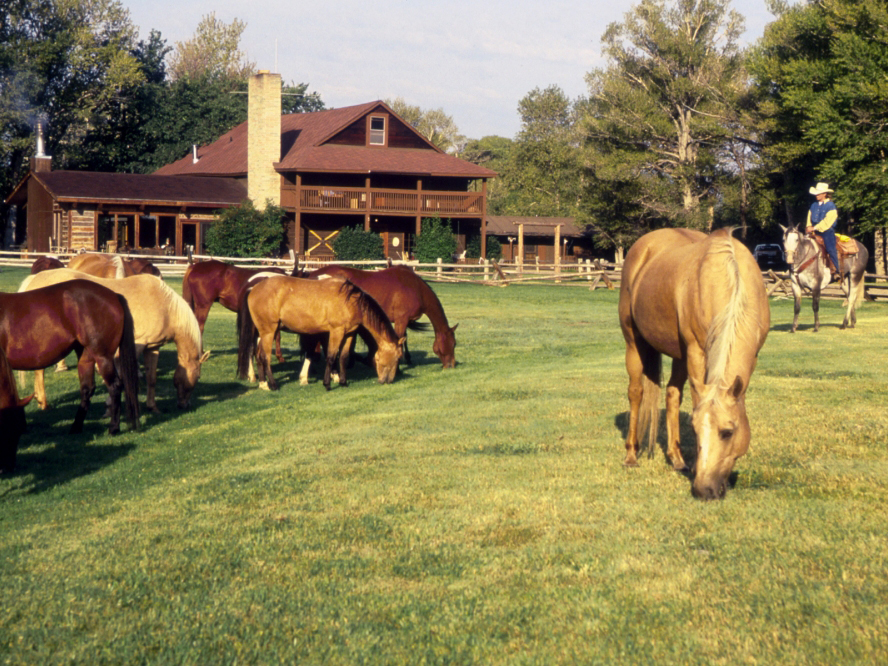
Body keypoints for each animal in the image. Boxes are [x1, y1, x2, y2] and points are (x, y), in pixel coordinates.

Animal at [0, 280, 140, 435]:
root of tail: (114, 296)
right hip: (86, 357)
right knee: (87, 389)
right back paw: (76, 427)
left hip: (102, 356)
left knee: (114, 386)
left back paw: (113, 428)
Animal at [20, 270, 208, 412]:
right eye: (198, 376)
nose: (185, 405)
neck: (164, 305)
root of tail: (35, 279)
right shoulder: (135, 347)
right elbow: (127, 378)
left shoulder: (152, 348)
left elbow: (151, 378)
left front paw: (152, 407)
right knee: (40, 370)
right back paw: (43, 402)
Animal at [236, 276, 404, 391]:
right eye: (396, 358)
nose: (389, 380)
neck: (350, 302)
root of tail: (253, 289)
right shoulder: (336, 331)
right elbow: (331, 357)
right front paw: (327, 384)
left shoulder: (349, 334)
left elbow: (343, 357)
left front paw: (343, 382)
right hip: (268, 332)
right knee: (265, 357)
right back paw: (273, 384)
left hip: (263, 333)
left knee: (258, 355)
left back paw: (263, 384)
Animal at [307, 265, 457, 368]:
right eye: (454, 344)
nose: (451, 365)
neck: (416, 288)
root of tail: (313, 274)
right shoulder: (401, 320)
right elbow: (400, 338)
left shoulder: (403, 320)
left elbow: (404, 338)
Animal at [619, 228, 770, 500]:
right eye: (696, 430)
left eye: (727, 432)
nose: (704, 490)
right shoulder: (696, 352)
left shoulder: (752, 356)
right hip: (633, 343)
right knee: (636, 393)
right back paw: (631, 455)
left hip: (678, 353)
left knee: (672, 394)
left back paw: (676, 458)